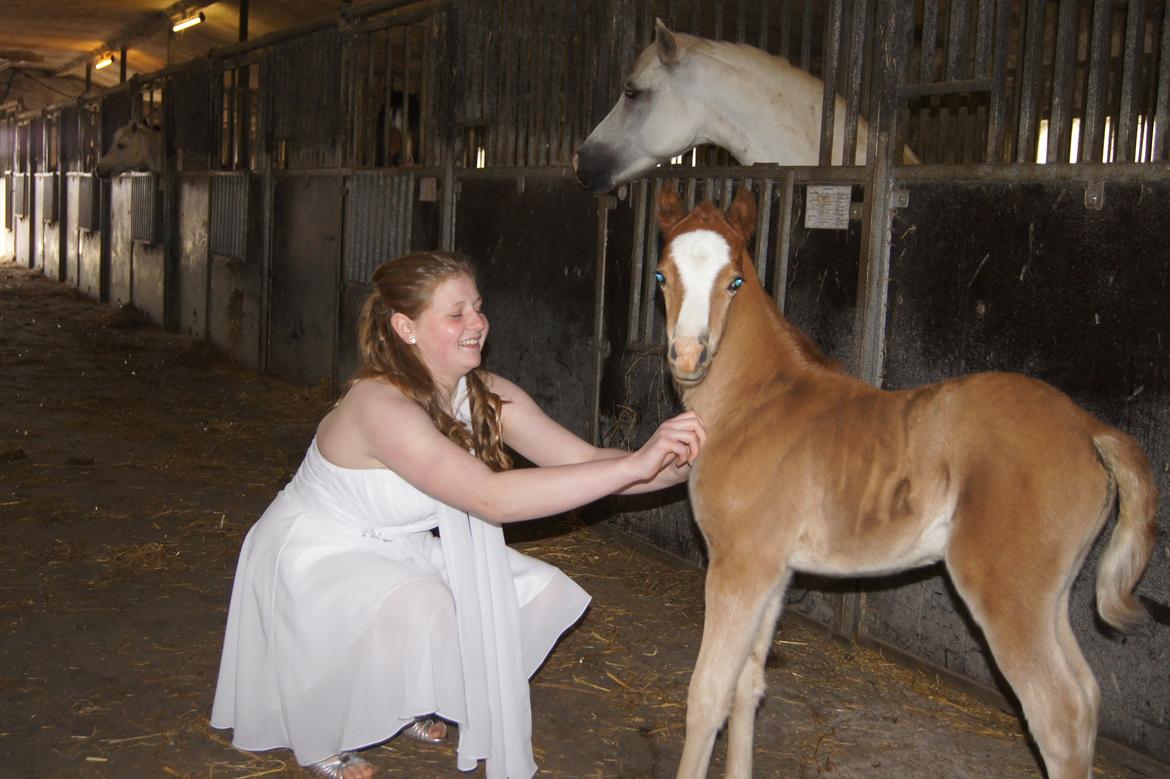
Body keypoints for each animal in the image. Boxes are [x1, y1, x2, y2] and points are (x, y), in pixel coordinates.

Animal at [653, 185, 1158, 779]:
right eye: (661, 275)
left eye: (735, 281)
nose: (689, 355)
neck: (757, 403)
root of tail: (1087, 425)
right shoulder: (772, 571)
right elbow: (746, 687)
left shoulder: (739, 566)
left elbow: (707, 694)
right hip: (1050, 598)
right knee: (1089, 695)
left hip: (1007, 596)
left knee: (1060, 716)